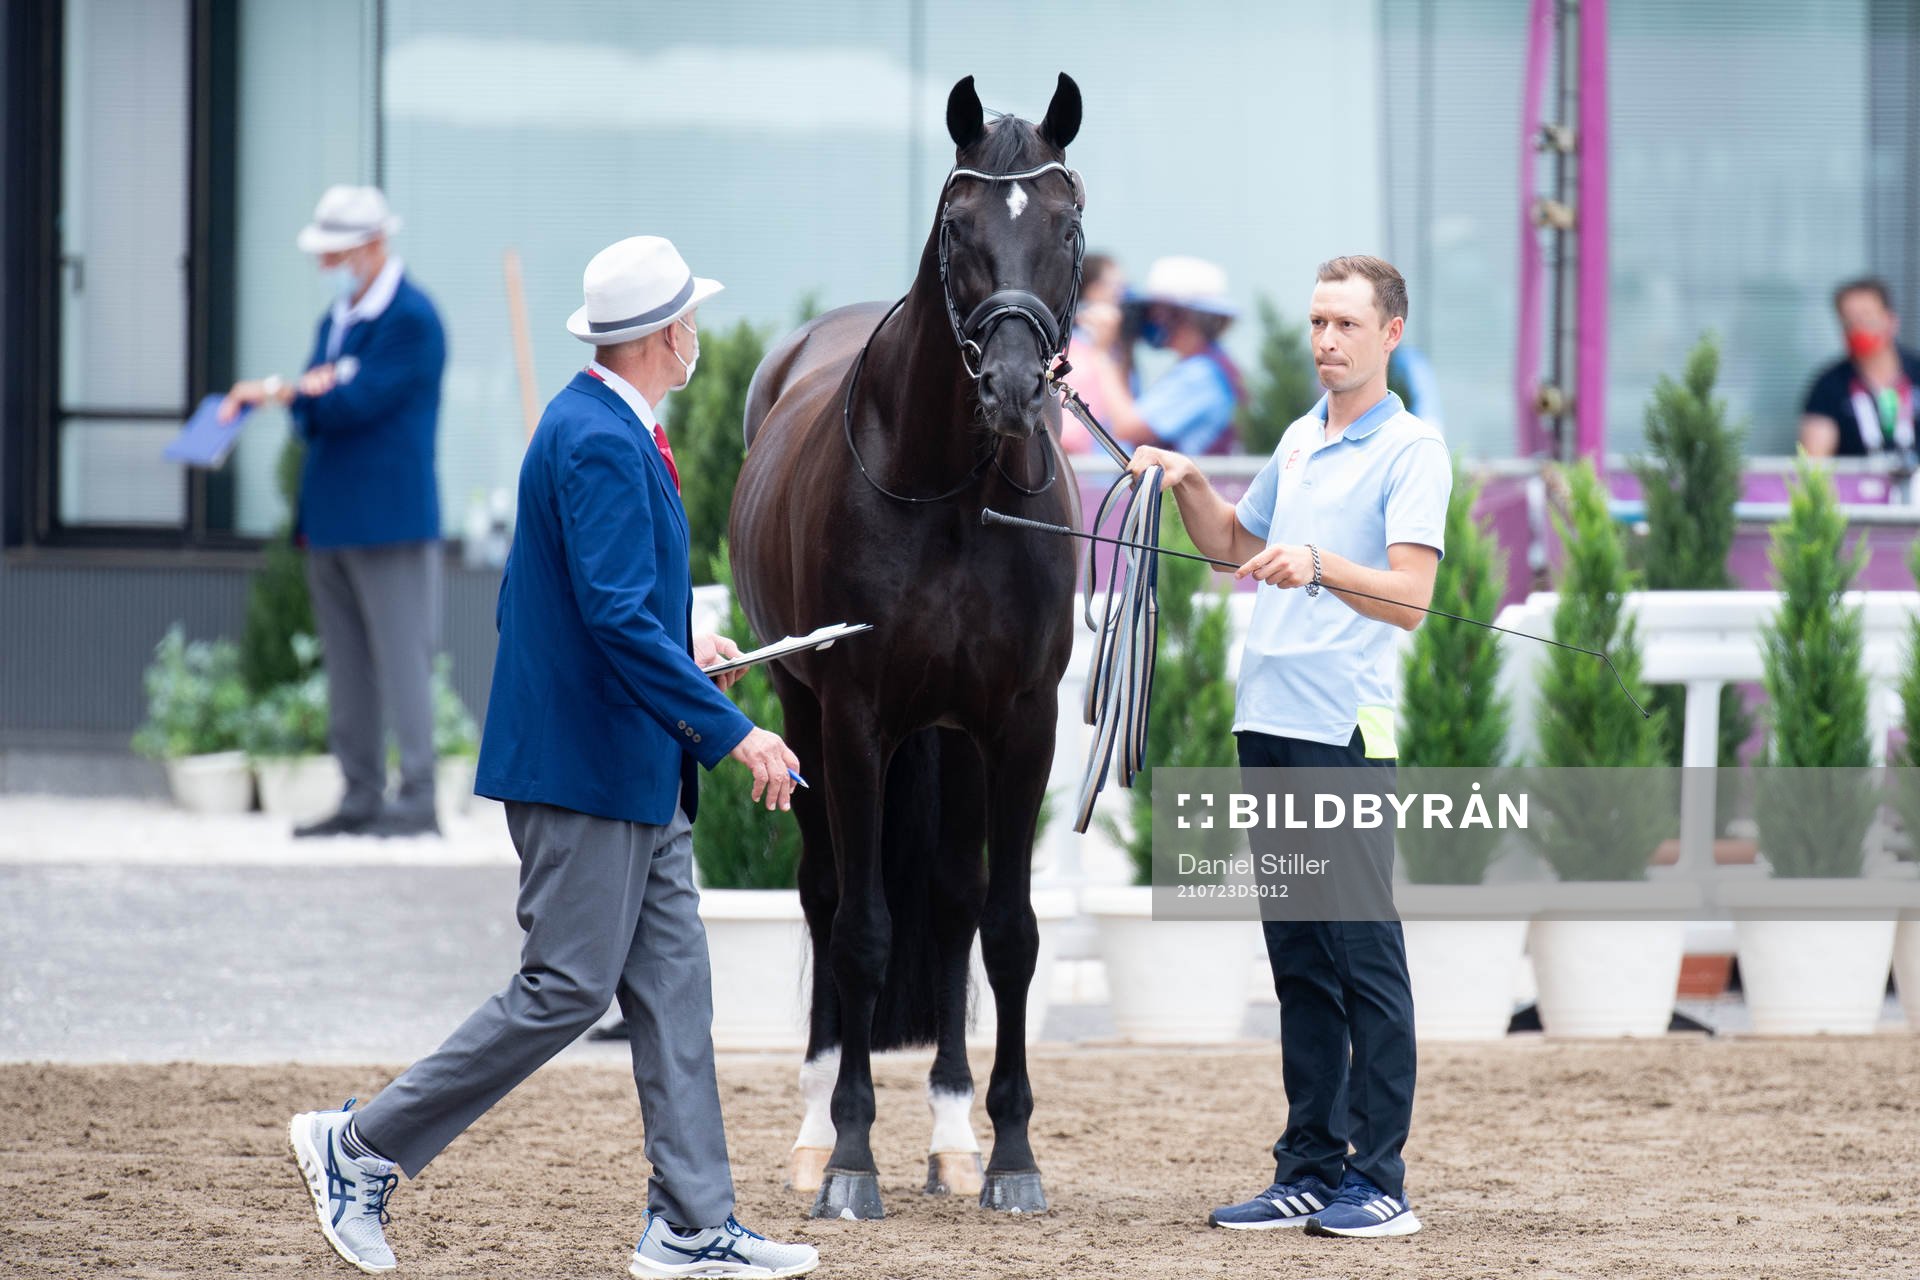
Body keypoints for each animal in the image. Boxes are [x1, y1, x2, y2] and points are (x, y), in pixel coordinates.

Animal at [729, 73, 1085, 1220]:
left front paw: (1010, 1155)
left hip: (956, 739)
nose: (1014, 388)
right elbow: (864, 931)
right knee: (827, 894)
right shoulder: (853, 717)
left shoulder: (1019, 723)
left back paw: (951, 1139)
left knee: (953, 899)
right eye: (958, 225)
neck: (955, 495)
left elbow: (1006, 928)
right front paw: (849, 1157)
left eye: (1066, 224)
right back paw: (812, 1137)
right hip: (800, 710)